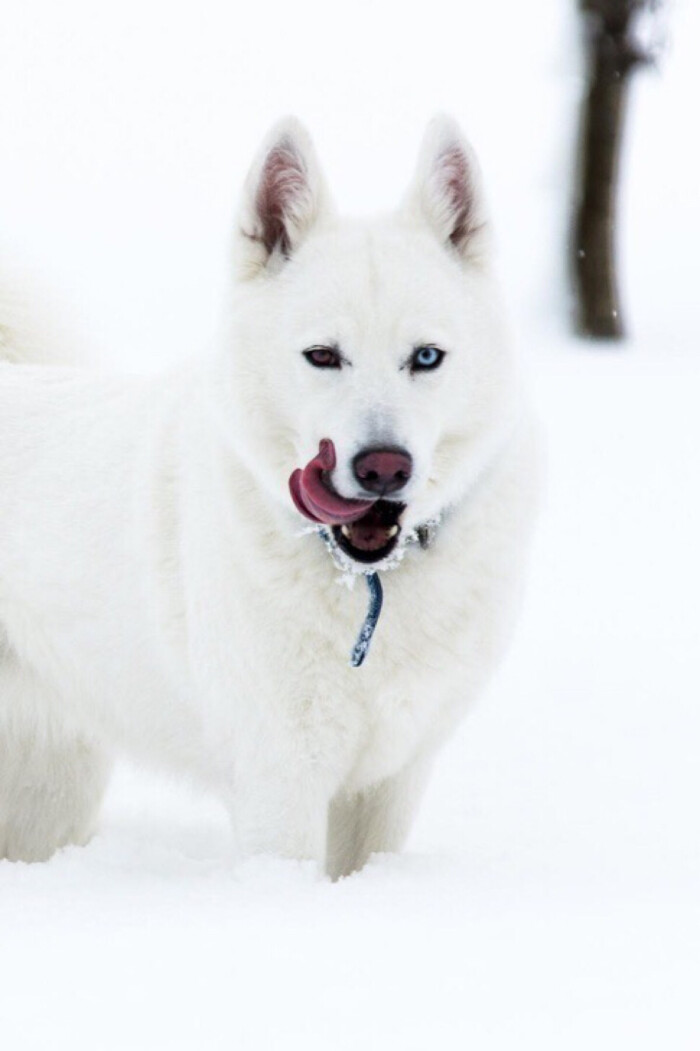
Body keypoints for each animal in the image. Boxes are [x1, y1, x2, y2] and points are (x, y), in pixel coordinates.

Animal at [0, 117, 533, 878]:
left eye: (426, 358)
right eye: (323, 357)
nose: (383, 468)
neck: (365, 586)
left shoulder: (391, 782)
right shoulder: (278, 781)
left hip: (50, 792)